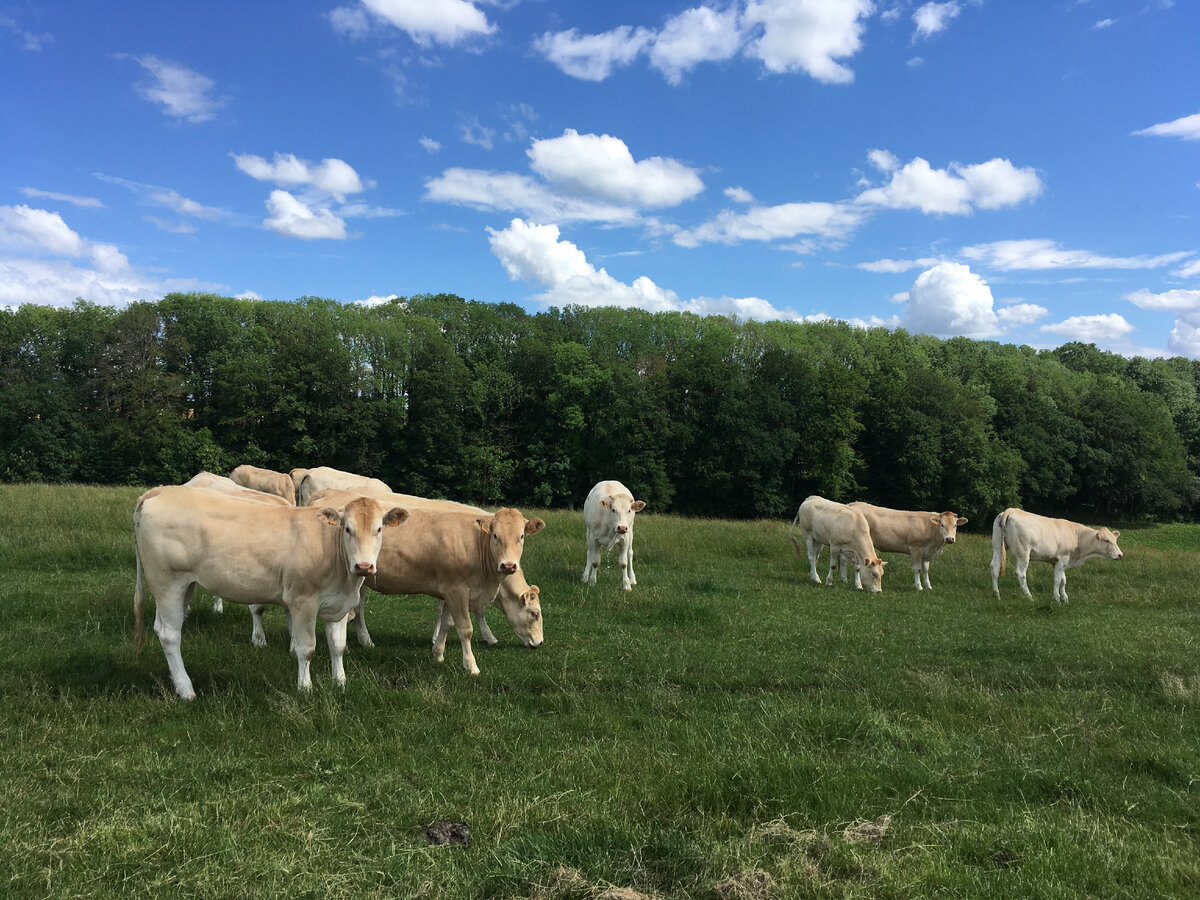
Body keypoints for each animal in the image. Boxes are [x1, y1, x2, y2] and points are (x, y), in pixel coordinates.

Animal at [133, 482, 408, 700]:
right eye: (347, 529)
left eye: (379, 529)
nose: (364, 565)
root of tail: (163, 490)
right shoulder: (302, 601)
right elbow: (306, 648)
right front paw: (304, 688)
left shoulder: (339, 604)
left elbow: (337, 646)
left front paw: (340, 683)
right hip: (167, 581)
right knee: (170, 634)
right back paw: (186, 689)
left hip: (186, 584)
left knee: (162, 627)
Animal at [255, 487, 549, 657]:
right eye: (534, 614)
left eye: (522, 536)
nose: (540, 643)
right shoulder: (457, 586)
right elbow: (469, 614)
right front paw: (487, 637)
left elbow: (449, 616)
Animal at [840, 504, 969, 595]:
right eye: (942, 524)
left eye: (955, 525)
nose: (950, 538)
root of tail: (854, 504)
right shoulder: (916, 549)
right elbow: (918, 569)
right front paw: (919, 587)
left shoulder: (926, 553)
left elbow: (926, 570)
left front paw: (928, 586)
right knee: (856, 564)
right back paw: (858, 584)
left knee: (843, 559)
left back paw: (844, 579)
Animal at [988, 508, 1118, 607]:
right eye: (1106, 540)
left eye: (1115, 540)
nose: (1120, 554)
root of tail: (1010, 510)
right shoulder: (1063, 558)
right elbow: (1057, 580)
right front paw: (1057, 599)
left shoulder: (1058, 561)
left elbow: (1063, 580)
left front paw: (1065, 599)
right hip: (1023, 553)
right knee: (1021, 574)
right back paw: (1030, 597)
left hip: (997, 547)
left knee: (994, 568)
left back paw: (997, 595)